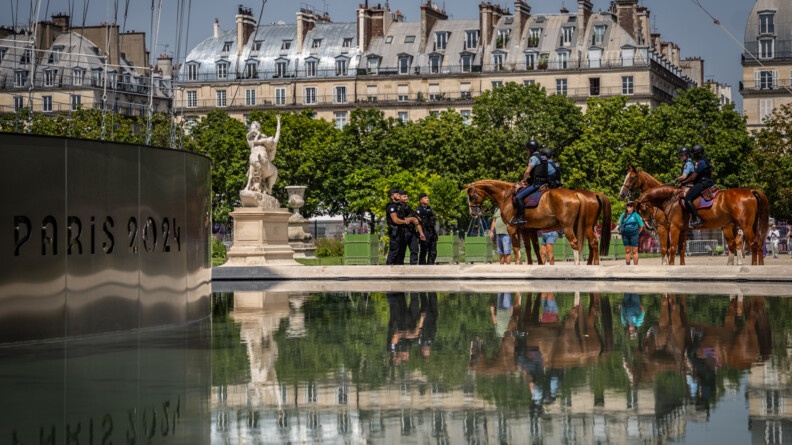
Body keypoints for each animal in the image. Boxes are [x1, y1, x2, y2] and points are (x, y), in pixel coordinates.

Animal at [636, 186, 772, 266]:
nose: (648, 226)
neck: (671, 199)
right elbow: (681, 249)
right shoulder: (683, 230)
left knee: (752, 244)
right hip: (740, 226)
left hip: (744, 227)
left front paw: (669, 265)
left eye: (643, 210)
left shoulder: (671, 228)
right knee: (755, 243)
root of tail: (750, 191)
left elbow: (670, 248)